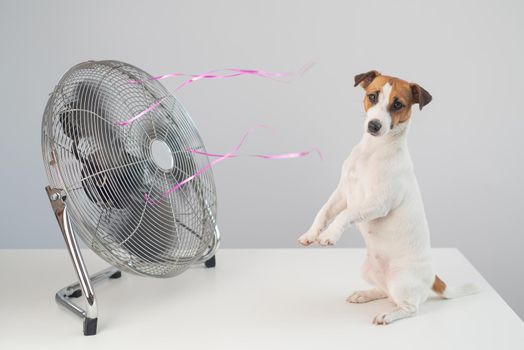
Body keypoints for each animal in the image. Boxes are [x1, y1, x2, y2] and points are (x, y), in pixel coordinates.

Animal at [296, 71, 476, 326]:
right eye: (372, 96)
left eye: (397, 104)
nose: (374, 125)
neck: (372, 150)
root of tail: (433, 278)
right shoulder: (342, 193)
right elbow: (324, 212)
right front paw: (311, 234)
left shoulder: (378, 203)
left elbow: (346, 214)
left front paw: (330, 235)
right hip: (369, 271)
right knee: (385, 291)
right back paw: (365, 294)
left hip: (402, 282)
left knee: (410, 307)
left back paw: (387, 315)